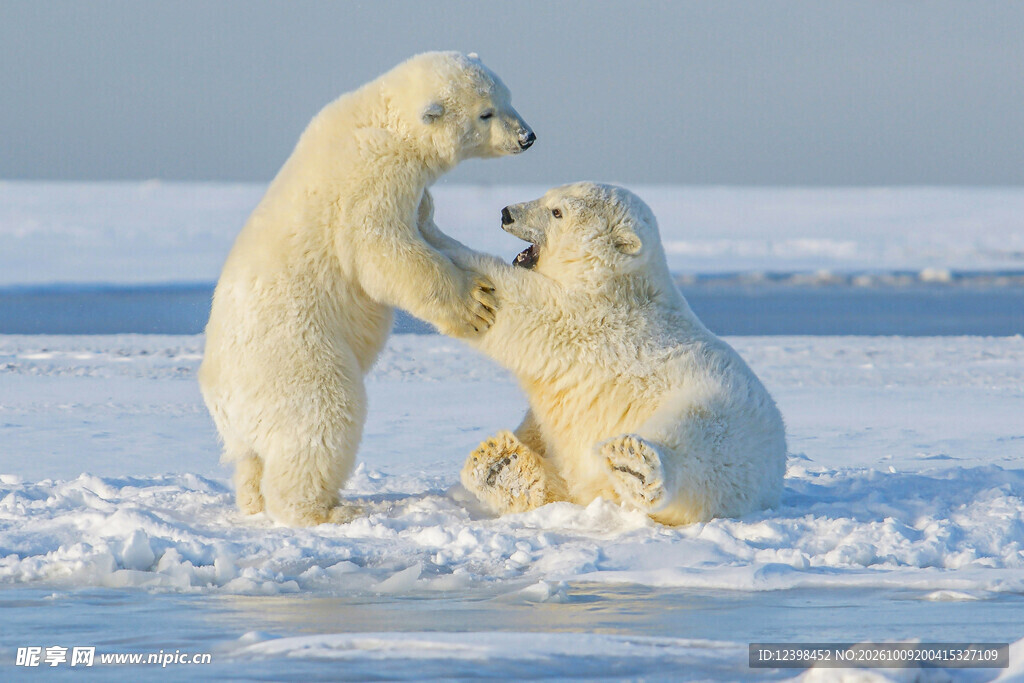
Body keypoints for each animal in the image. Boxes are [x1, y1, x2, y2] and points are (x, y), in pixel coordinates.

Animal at [198, 52, 535, 526]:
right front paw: (475, 304)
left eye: (507, 98)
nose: (527, 137)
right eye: (486, 113)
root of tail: (221, 398)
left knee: (251, 458)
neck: (381, 116)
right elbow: (382, 249)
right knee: (323, 418)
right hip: (295, 358)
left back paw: (253, 501)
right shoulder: (373, 176)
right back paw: (327, 510)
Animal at [418, 182, 787, 525]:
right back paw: (499, 463)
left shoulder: (590, 318)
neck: (618, 283)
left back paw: (634, 464)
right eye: (547, 194)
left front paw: (426, 225)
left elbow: (520, 305)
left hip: (721, 414)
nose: (507, 213)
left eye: (557, 212)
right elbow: (542, 426)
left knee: (695, 439)